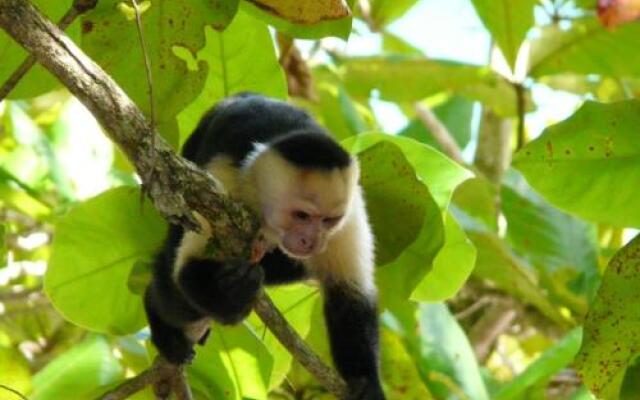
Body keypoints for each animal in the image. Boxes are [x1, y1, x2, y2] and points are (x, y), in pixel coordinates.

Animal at [144, 92, 384, 398]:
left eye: (329, 220)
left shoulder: (350, 212)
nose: (310, 241)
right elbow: (188, 268)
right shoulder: (223, 179)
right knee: (176, 291)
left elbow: (350, 296)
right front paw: (234, 293)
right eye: (301, 215)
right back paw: (160, 318)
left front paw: (365, 382)